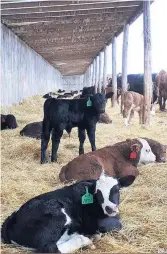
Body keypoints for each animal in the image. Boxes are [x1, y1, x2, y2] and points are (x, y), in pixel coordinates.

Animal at [0, 174, 134, 253]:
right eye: (97, 193)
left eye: (117, 189)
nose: (110, 208)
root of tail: (11, 219)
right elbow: (114, 226)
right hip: (56, 216)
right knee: (49, 248)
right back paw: (84, 239)